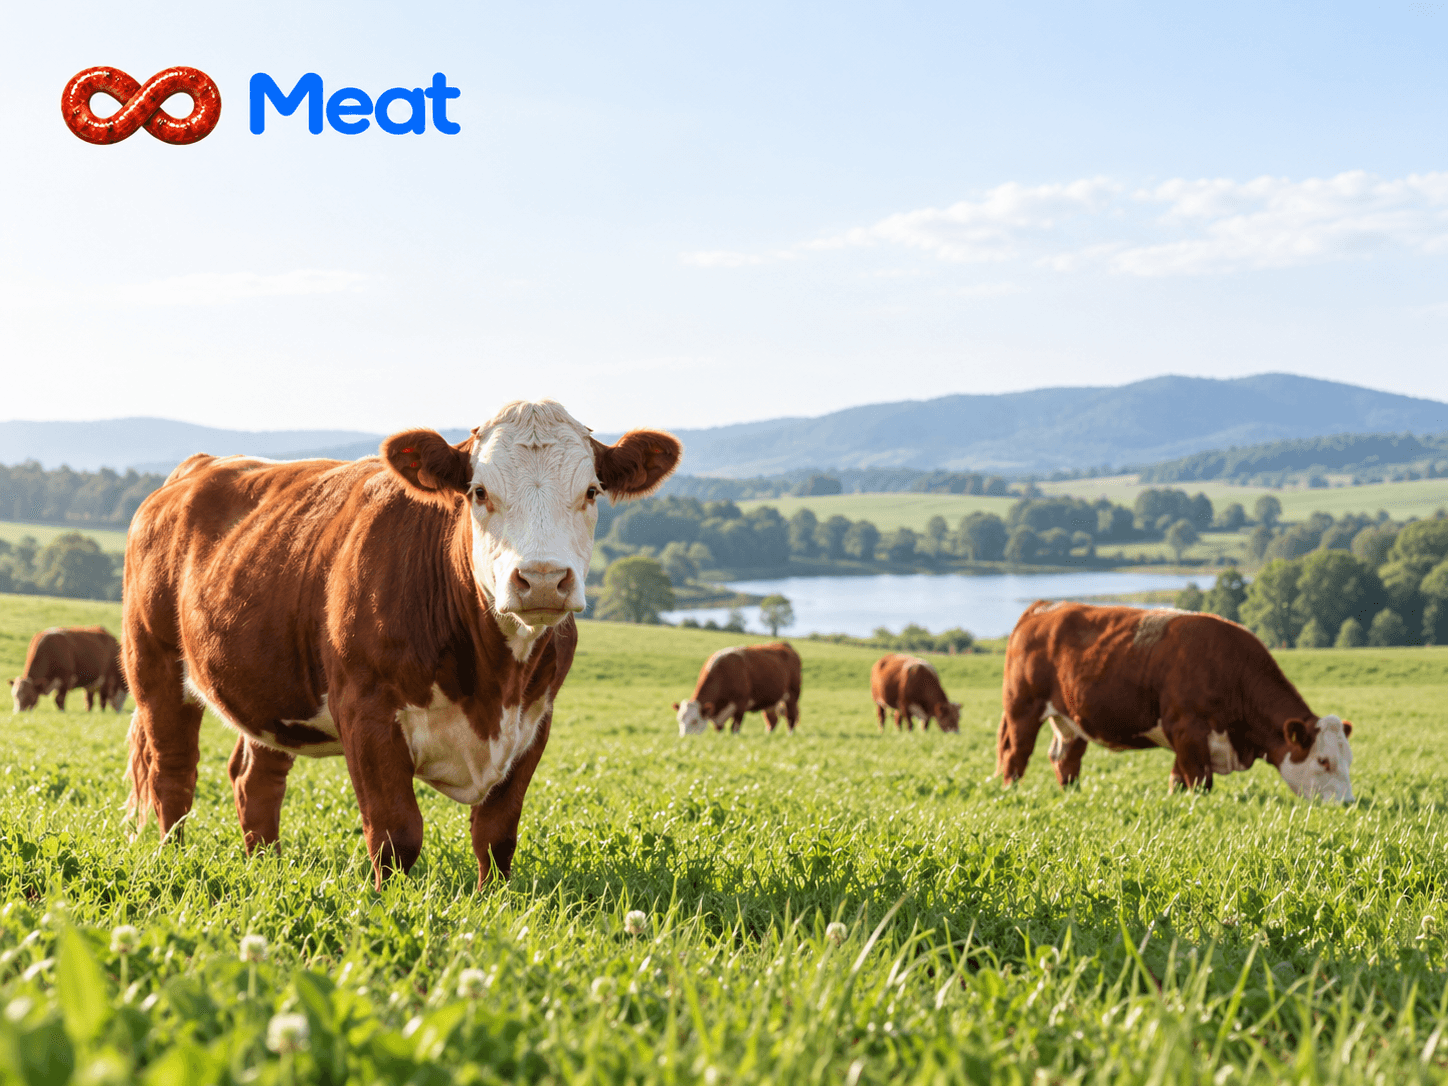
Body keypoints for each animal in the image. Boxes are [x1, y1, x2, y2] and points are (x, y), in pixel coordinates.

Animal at [121, 399, 680, 889]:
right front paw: (386, 902)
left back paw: (267, 866)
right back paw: (174, 858)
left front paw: (494, 902)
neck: (492, 682)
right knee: (173, 771)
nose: (542, 579)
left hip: (272, 684)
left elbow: (496, 834)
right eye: (479, 492)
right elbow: (396, 834)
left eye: (591, 491)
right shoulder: (365, 711)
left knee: (255, 777)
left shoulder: (534, 720)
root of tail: (196, 467)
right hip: (153, 664)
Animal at [996, 602, 1355, 801]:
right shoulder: (1186, 728)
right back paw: (1011, 794)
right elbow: (1199, 781)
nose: (1348, 804)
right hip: (1022, 709)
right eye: (1323, 760)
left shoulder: (1187, 738)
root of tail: (1044, 608)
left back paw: (1072, 793)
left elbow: (1178, 778)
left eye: (1349, 760)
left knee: (1066, 758)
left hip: (1070, 720)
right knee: (1016, 756)